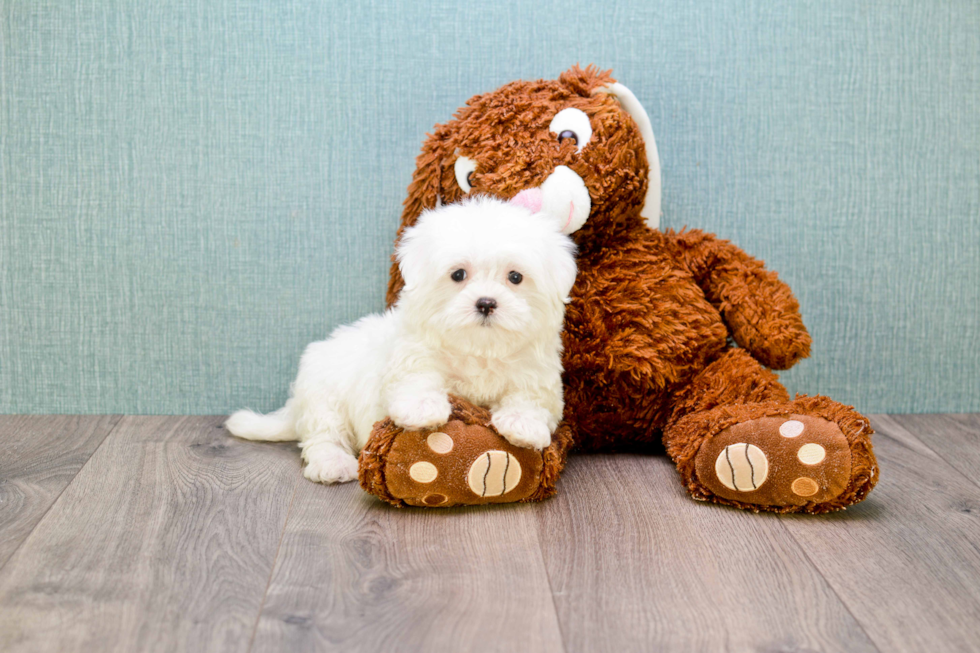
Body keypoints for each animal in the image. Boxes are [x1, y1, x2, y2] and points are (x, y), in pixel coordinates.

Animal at [226, 197, 580, 484]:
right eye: (458, 274)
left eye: (515, 277)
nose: (486, 303)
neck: (479, 348)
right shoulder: (412, 354)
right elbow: (416, 378)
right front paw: (422, 408)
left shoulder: (537, 373)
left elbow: (531, 398)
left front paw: (522, 424)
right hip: (324, 395)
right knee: (323, 436)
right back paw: (332, 463)